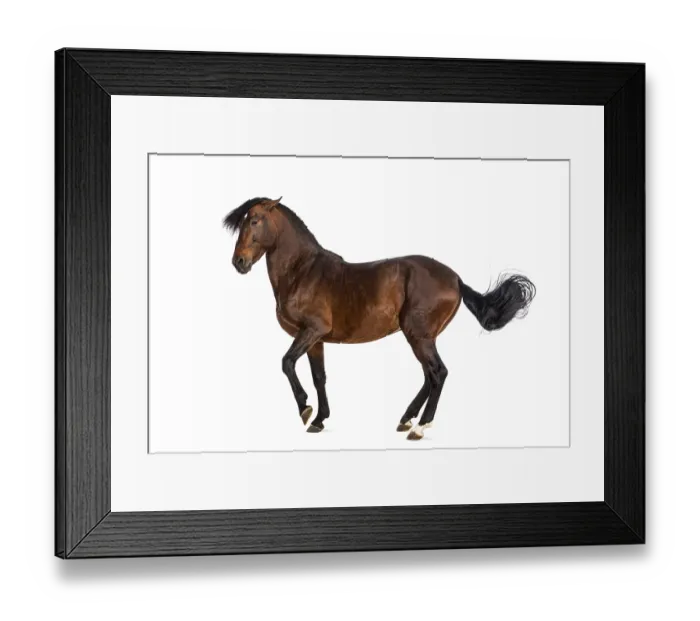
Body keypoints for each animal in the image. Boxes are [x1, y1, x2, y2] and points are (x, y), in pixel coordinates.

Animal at [224, 196, 535, 441]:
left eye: (255, 221)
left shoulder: (311, 331)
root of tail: (456, 280)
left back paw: (419, 427)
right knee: (429, 375)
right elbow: (319, 377)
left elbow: (287, 363)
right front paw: (319, 420)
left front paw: (305, 410)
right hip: (421, 337)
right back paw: (406, 419)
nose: (238, 262)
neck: (302, 272)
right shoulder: (316, 340)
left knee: (438, 373)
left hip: (418, 335)